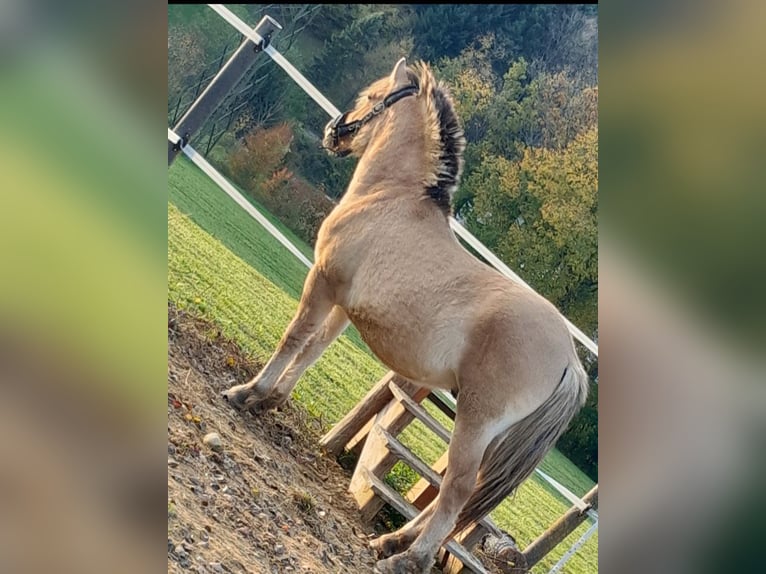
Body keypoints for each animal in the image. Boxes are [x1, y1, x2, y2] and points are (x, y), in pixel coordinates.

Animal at [223, 58, 589, 574]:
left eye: (371, 95)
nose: (333, 132)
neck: (388, 198)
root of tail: (571, 360)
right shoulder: (342, 303)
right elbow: (313, 350)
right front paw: (270, 401)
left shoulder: (322, 283)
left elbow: (293, 338)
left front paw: (246, 393)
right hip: (492, 436)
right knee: (460, 493)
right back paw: (391, 541)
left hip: (475, 422)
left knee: (457, 490)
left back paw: (405, 558)